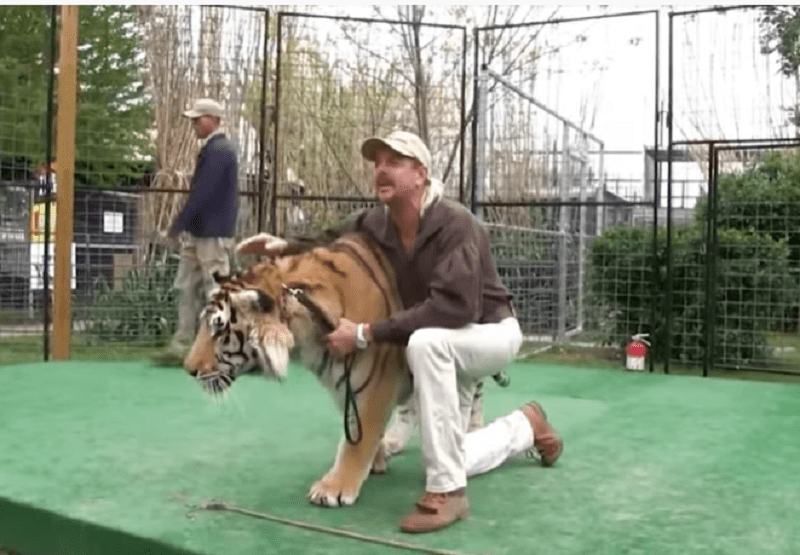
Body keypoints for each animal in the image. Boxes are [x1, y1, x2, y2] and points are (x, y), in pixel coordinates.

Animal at [183, 232, 411, 507]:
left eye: (219, 330)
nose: (188, 369)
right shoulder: (344, 387)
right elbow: (355, 427)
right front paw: (376, 461)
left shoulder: (378, 382)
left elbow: (359, 437)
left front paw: (334, 487)